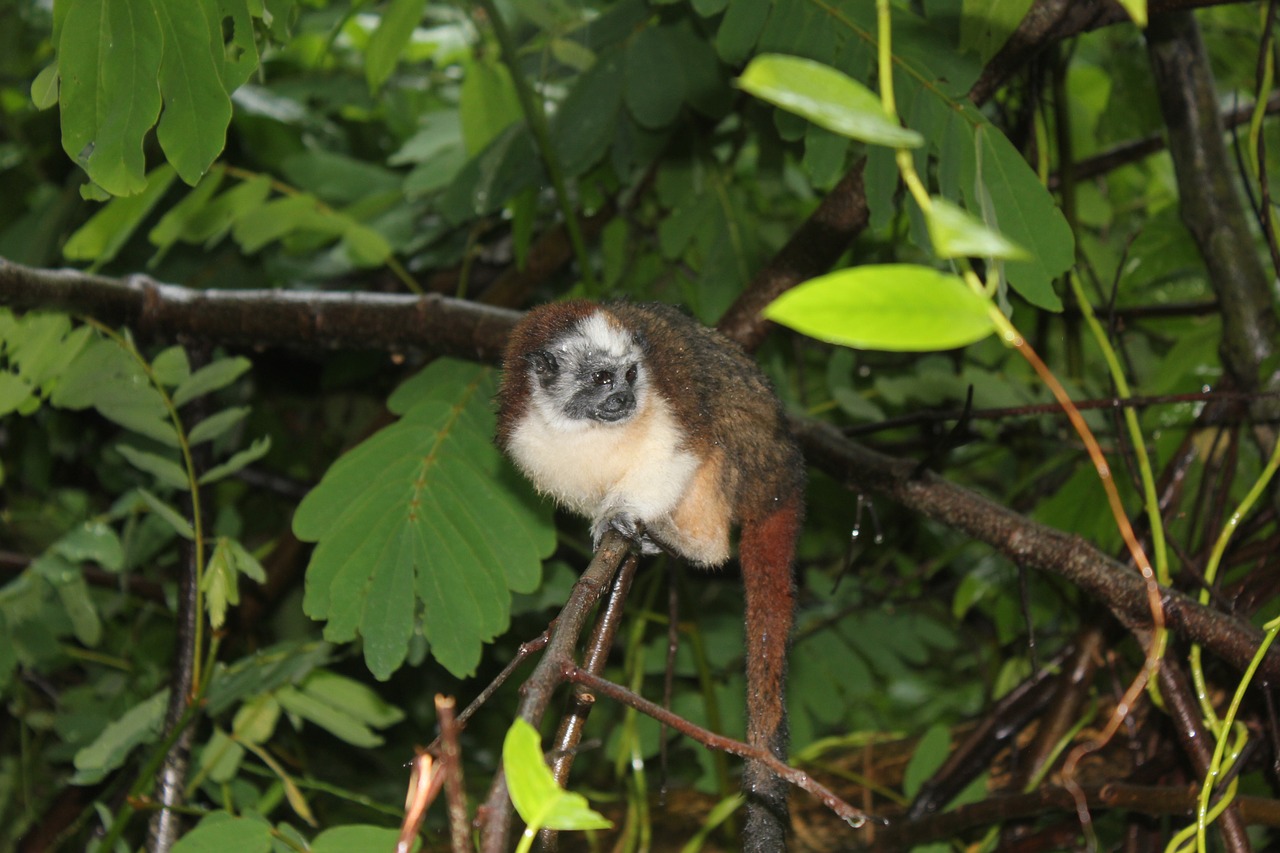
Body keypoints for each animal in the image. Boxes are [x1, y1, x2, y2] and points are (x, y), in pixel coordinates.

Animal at [494, 298, 803, 845]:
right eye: (601, 378)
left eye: (632, 375)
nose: (624, 397)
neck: (581, 428)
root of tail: (782, 475)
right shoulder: (524, 433)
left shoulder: (671, 401)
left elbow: (684, 450)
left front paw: (622, 517)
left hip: (751, 461)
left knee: (715, 439)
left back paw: (684, 542)